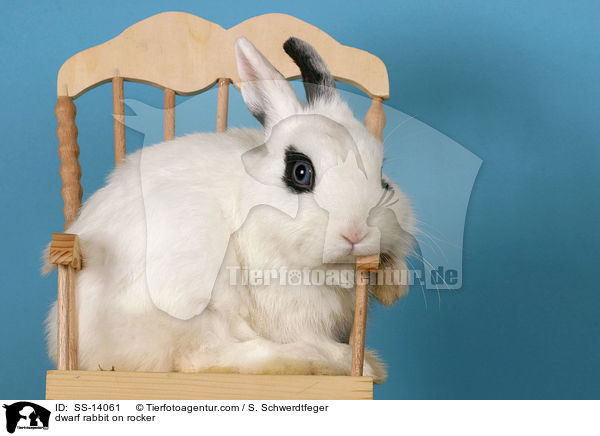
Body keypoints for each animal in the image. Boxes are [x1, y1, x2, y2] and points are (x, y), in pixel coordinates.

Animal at [44, 36, 414, 382]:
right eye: (300, 172)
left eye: (383, 177)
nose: (356, 231)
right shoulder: (290, 311)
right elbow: (309, 339)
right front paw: (349, 361)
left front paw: (393, 285)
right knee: (201, 357)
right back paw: (322, 362)